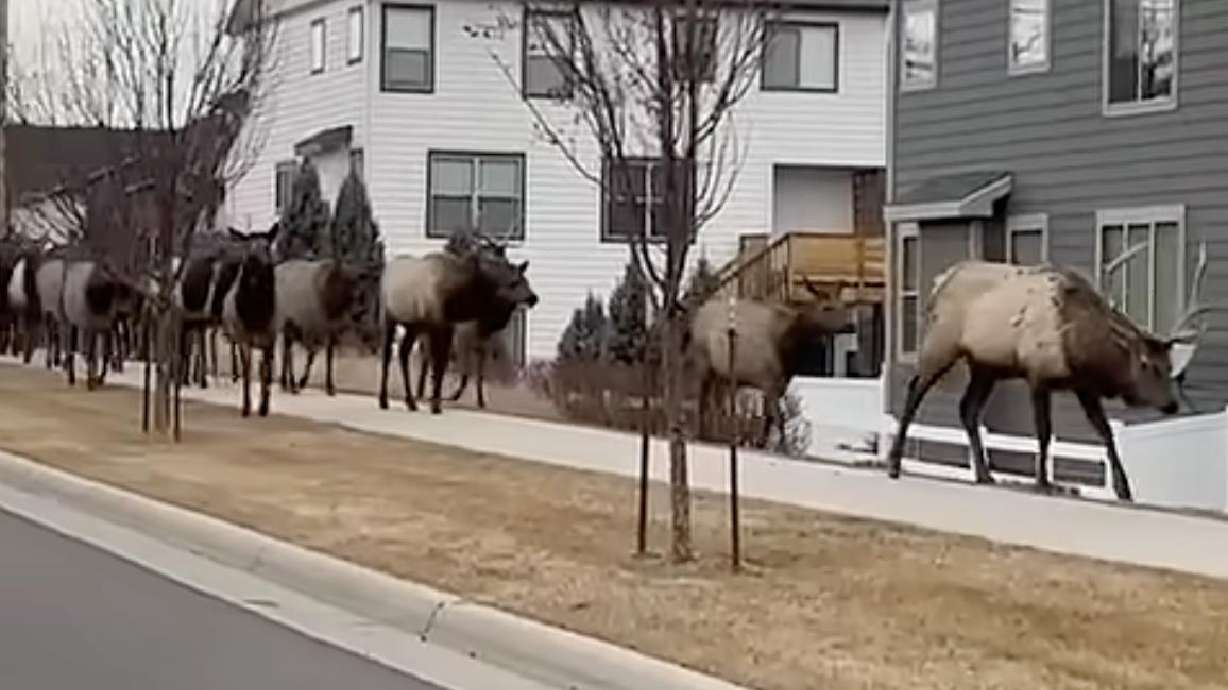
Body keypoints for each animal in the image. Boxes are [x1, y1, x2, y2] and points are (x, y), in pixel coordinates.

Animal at [687, 279, 853, 446]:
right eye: (827, 307)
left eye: (844, 305)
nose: (850, 326)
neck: (789, 349)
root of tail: (695, 319)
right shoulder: (769, 380)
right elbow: (779, 417)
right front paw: (783, 445)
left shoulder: (779, 383)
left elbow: (769, 417)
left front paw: (763, 442)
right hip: (702, 361)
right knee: (700, 398)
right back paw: (698, 435)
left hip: (719, 374)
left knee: (712, 402)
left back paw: (711, 436)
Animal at [885, 251, 1215, 503]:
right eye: (1145, 363)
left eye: (1168, 363)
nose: (1171, 404)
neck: (1079, 347)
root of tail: (938, 283)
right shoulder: (1037, 375)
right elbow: (1043, 431)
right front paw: (1042, 482)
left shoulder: (1084, 387)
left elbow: (1105, 432)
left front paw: (1124, 489)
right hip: (941, 343)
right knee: (915, 390)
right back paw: (894, 463)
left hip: (985, 366)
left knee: (967, 408)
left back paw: (984, 474)